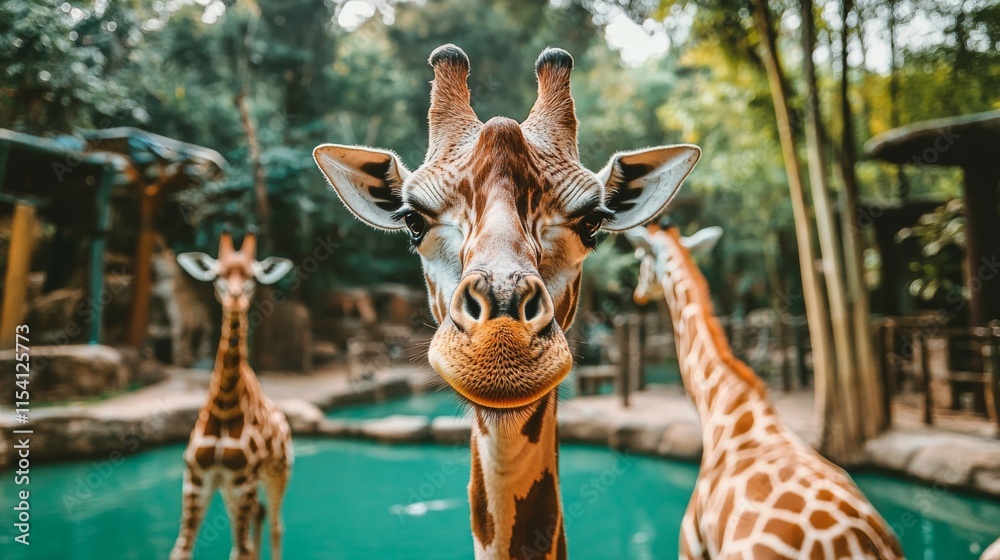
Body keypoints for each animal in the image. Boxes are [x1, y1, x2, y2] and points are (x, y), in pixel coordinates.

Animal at [170, 231, 295, 560]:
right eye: (217, 275)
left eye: (252, 275)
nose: (235, 297)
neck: (224, 408)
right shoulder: (198, 478)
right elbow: (181, 550)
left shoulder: (243, 480)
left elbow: (240, 551)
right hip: (229, 486)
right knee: (259, 518)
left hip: (277, 472)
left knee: (276, 525)